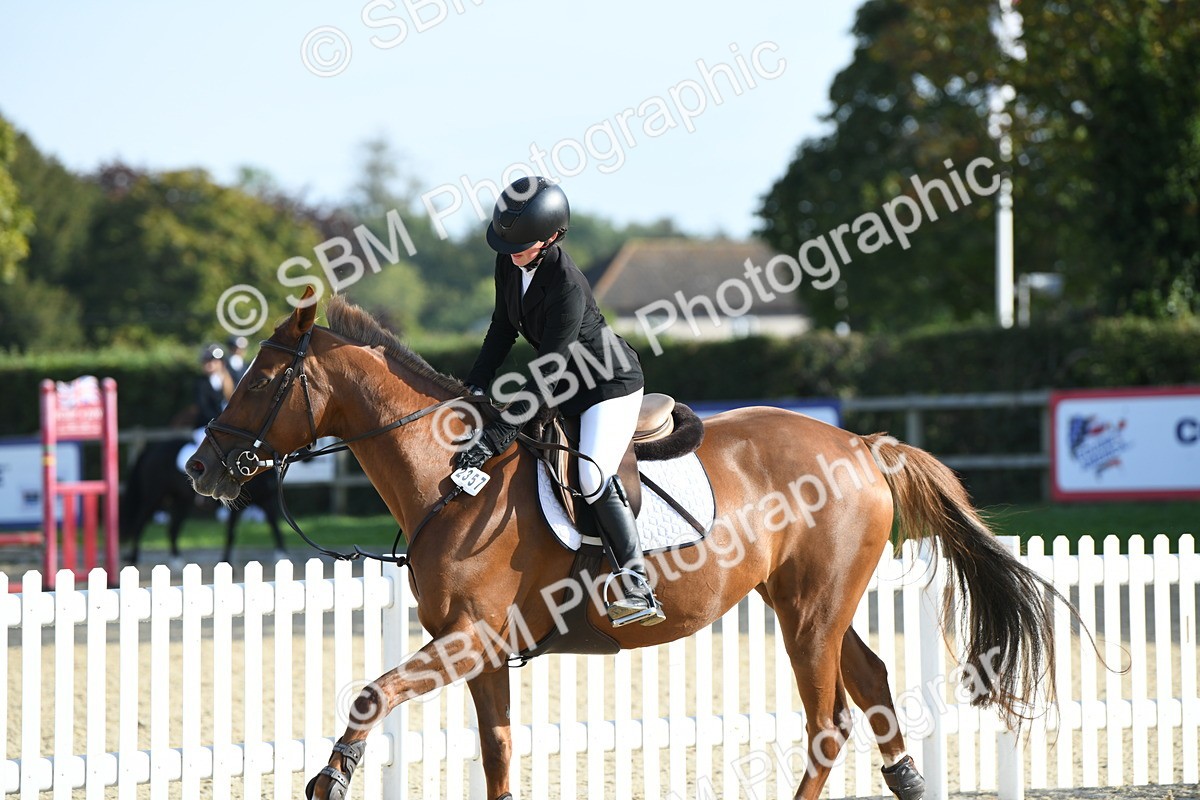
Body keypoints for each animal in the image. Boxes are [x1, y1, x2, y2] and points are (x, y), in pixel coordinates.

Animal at [123, 436, 286, 564]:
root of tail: (151, 450)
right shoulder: (238, 506)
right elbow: (231, 533)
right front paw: (226, 561)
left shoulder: (266, 499)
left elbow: (275, 526)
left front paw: (282, 555)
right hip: (154, 497)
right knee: (139, 523)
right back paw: (134, 558)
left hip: (181, 502)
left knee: (172, 528)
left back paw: (177, 561)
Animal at [186, 290, 1071, 800]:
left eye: (260, 378)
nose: (200, 469)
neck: (452, 476)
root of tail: (859, 444)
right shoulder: (479, 649)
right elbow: (497, 757)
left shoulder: (467, 639)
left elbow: (372, 695)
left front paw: (331, 777)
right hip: (807, 602)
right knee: (875, 681)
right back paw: (913, 784)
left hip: (809, 613)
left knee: (829, 724)